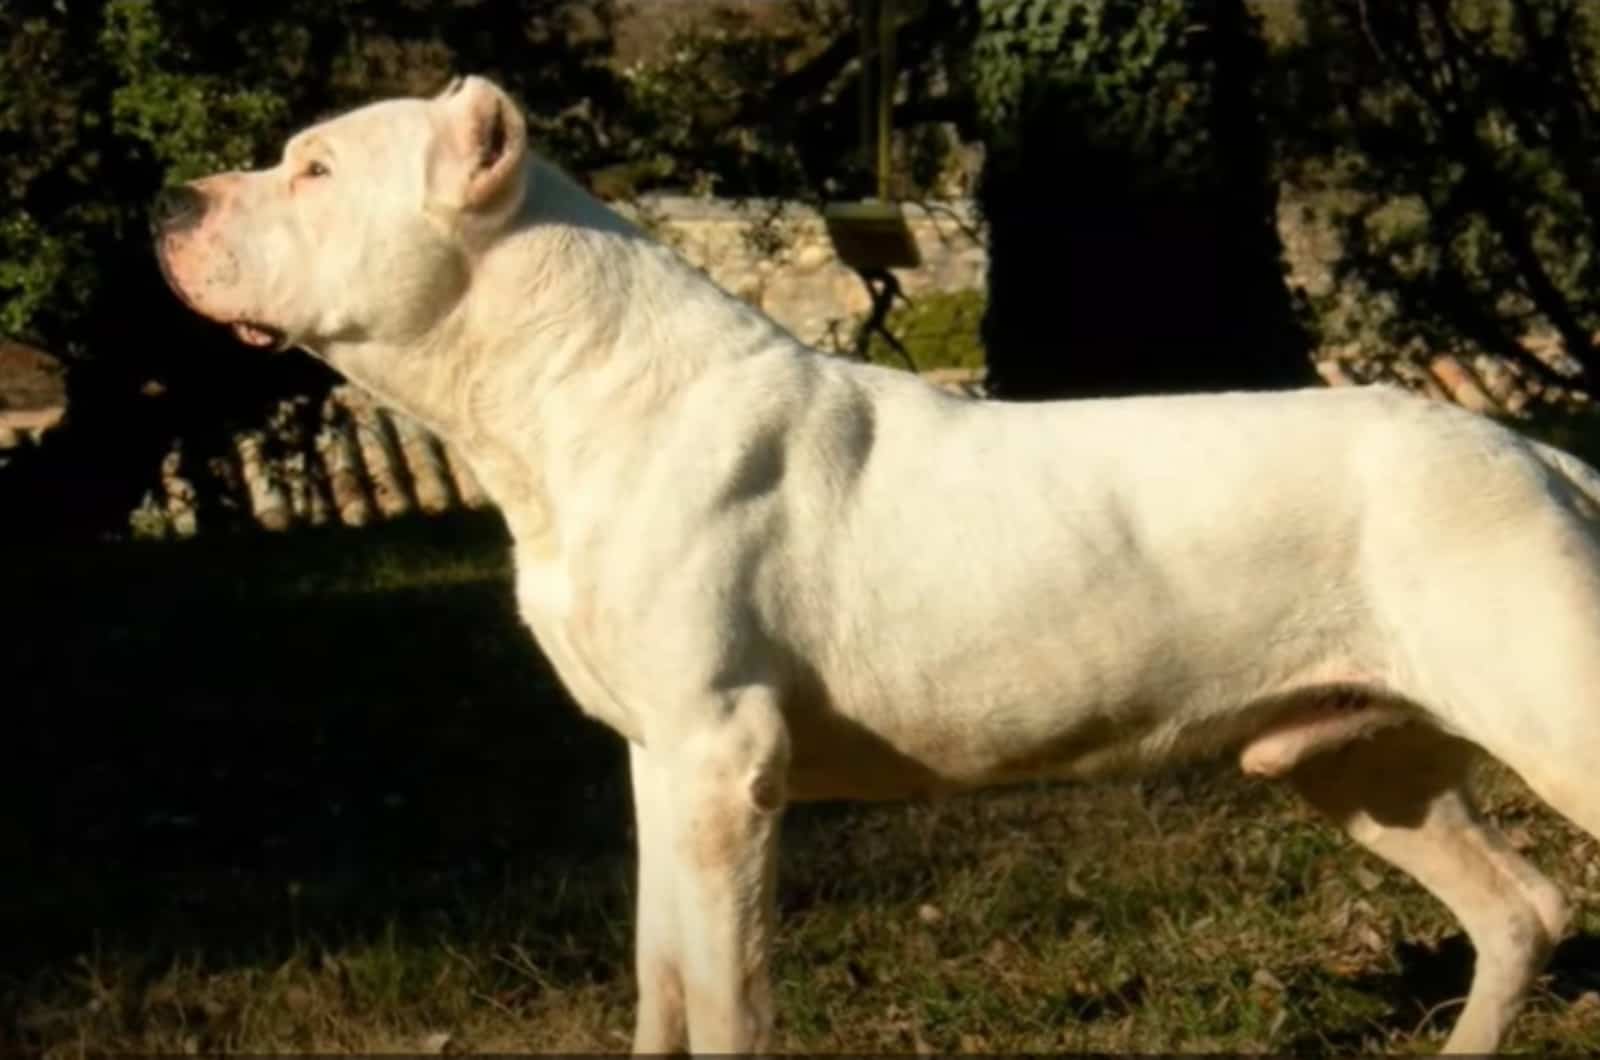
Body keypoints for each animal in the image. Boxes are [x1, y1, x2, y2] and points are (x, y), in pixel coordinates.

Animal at [156, 74, 1600, 1056]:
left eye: (315, 170)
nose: (171, 200)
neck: (574, 388)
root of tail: (1534, 451)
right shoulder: (658, 765)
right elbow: (661, 977)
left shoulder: (725, 768)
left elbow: (725, 998)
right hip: (1358, 759)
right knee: (1519, 907)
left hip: (1546, 712)